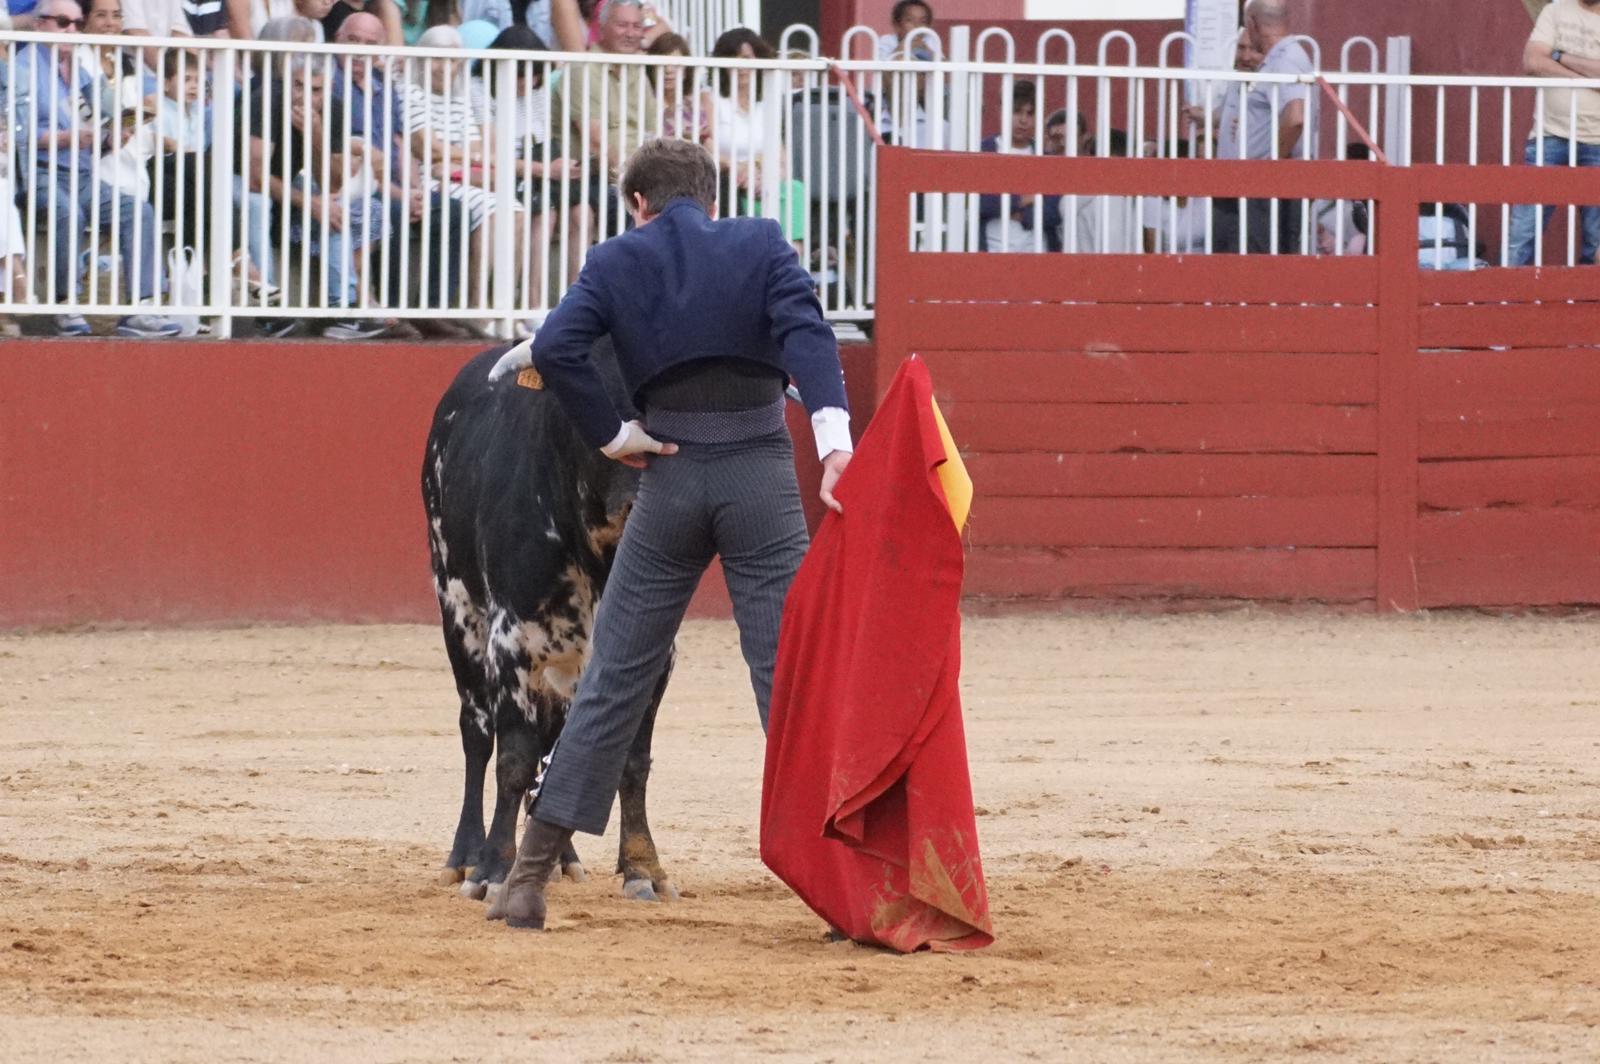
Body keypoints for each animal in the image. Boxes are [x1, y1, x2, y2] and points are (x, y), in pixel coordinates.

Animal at [419, 342, 675, 902]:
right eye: (587, 403)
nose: (637, 509)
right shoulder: (509, 643)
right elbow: (513, 759)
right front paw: (492, 870)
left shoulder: (656, 654)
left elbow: (632, 760)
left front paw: (644, 868)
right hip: (457, 612)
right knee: (477, 734)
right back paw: (464, 857)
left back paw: (560, 858)